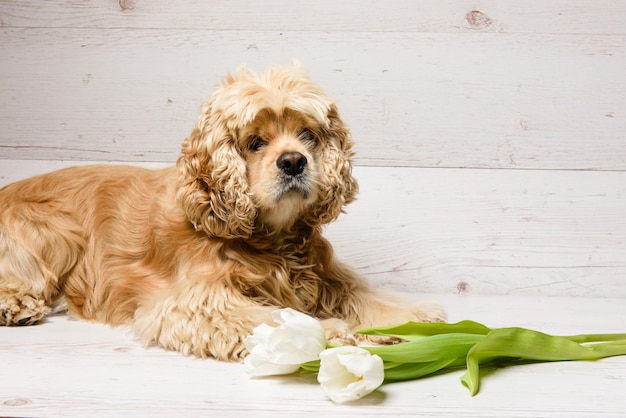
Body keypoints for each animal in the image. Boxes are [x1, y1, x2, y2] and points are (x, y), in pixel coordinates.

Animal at [0, 63, 442, 360]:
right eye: (255, 142)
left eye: (307, 135)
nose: (294, 162)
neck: (272, 238)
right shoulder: (196, 301)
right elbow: (273, 317)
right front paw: (331, 332)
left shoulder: (327, 276)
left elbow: (367, 295)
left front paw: (419, 318)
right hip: (51, 231)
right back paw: (16, 308)